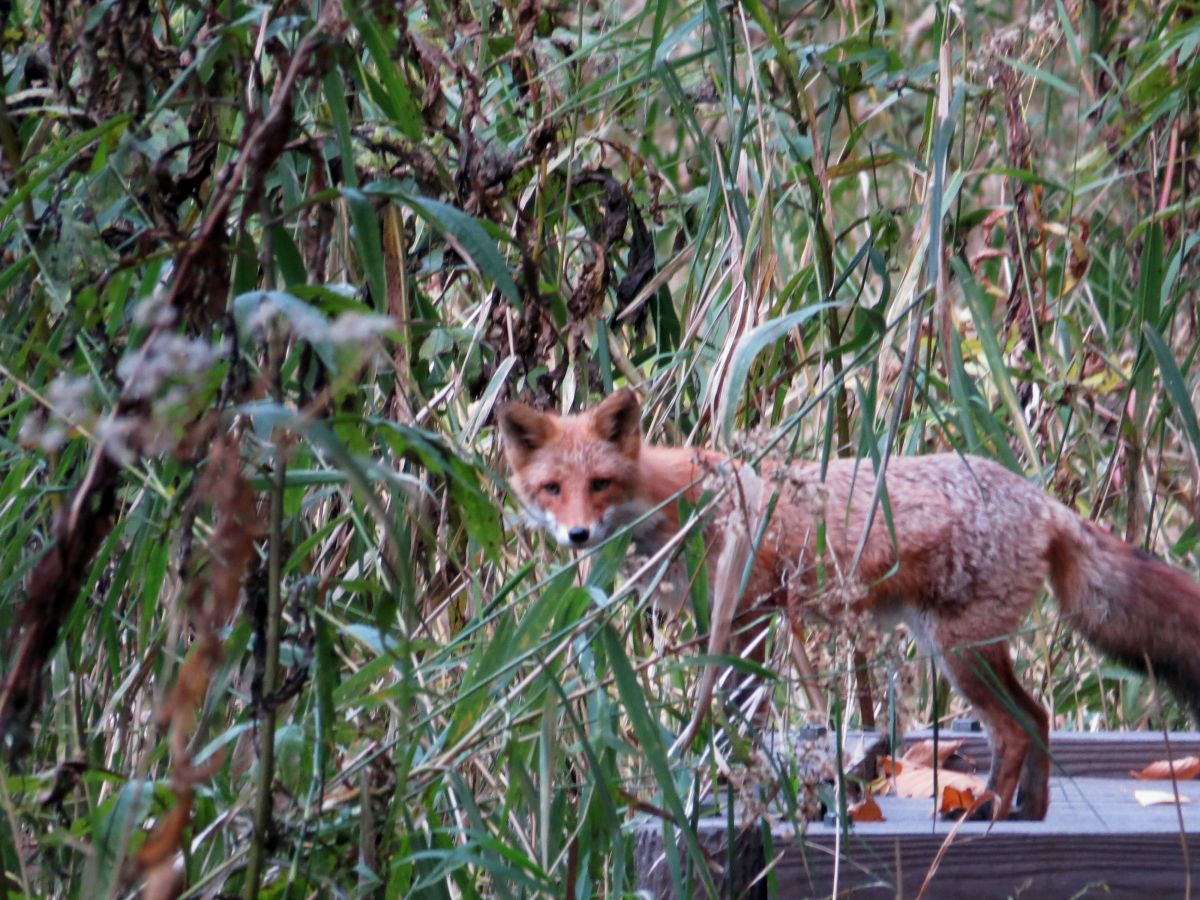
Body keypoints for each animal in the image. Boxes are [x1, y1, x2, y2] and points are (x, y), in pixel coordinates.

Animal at [498, 387, 1200, 820]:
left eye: (599, 484)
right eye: (553, 488)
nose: (577, 535)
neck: (678, 502)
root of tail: (1040, 498)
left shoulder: (748, 615)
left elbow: (742, 711)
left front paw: (735, 777)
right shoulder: (729, 624)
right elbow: (732, 708)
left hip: (960, 655)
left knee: (1014, 728)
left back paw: (990, 812)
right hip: (967, 649)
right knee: (1039, 718)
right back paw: (1030, 814)